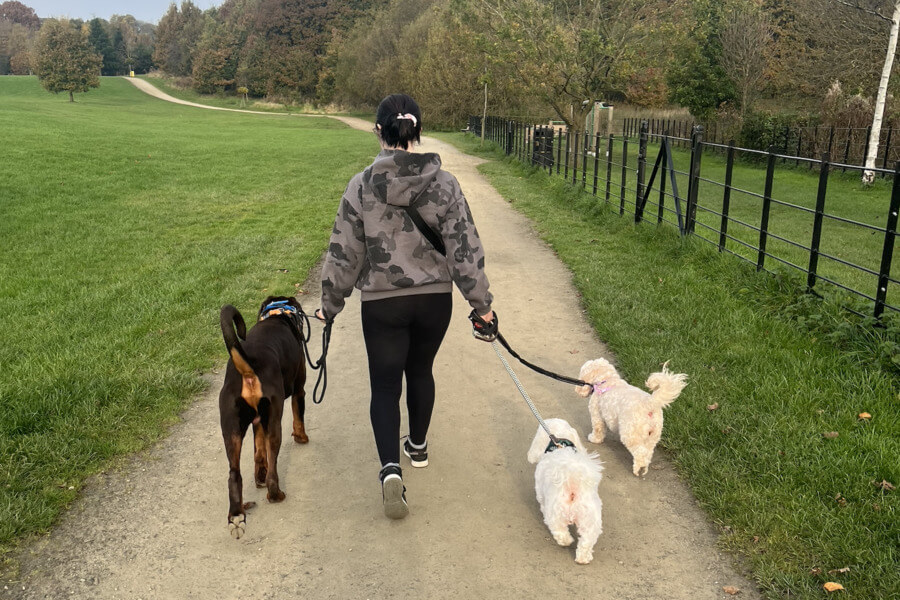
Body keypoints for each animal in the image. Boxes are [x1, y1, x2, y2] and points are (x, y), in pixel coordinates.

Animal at [219, 296, 310, 540]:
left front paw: (258, 475)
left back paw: (237, 515)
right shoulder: (299, 391)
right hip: (274, 420)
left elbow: (258, 452)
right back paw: (275, 494)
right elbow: (299, 417)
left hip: (231, 428)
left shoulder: (258, 422)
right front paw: (301, 437)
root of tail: (248, 367)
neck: (278, 314)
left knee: (234, 475)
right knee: (272, 470)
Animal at [528, 418, 604, 564]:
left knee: (559, 531)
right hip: (590, 519)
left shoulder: (541, 493)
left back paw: (567, 541)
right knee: (587, 540)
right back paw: (583, 558)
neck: (560, 443)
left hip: (555, 513)